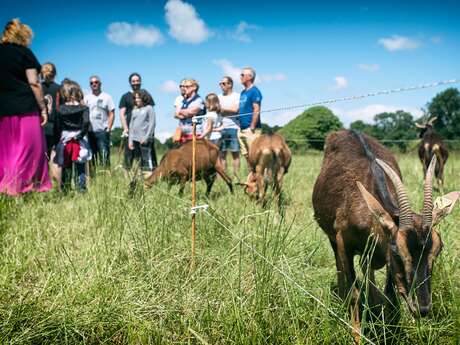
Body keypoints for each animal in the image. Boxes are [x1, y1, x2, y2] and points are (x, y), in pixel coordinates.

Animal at [310, 129, 458, 336]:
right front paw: (356, 335)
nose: (422, 308)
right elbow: (354, 292)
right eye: (397, 251)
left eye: (439, 249)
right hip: (334, 240)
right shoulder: (343, 242)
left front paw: (390, 331)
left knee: (367, 269)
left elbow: (390, 296)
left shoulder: (384, 257)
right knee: (342, 270)